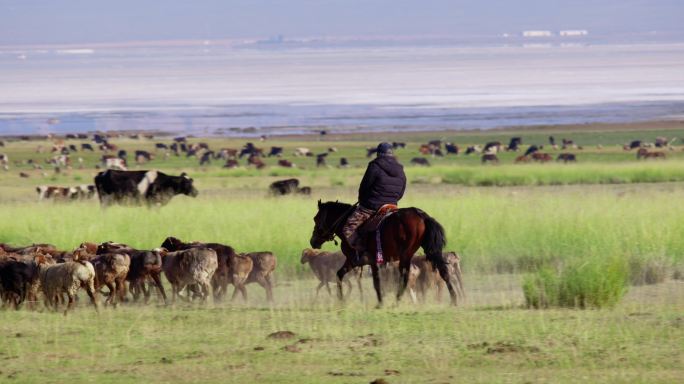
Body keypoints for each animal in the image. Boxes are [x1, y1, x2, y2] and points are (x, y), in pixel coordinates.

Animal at [312, 201, 460, 306]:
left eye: (316, 219)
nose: (313, 241)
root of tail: (421, 215)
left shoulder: (369, 260)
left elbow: (376, 281)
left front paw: (379, 303)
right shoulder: (354, 261)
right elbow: (339, 274)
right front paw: (341, 299)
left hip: (406, 255)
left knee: (404, 276)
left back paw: (397, 301)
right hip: (430, 251)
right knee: (443, 271)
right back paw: (454, 300)